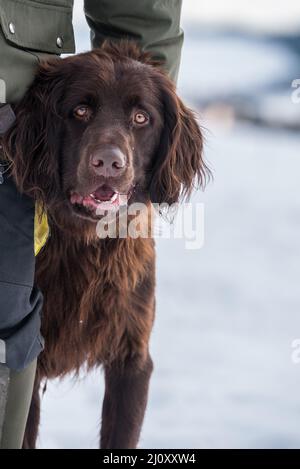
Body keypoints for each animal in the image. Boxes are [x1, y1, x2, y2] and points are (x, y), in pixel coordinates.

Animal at [2, 42, 209, 448]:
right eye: (80, 111)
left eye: (141, 117)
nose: (109, 163)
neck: (86, 247)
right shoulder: (33, 363)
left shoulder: (132, 358)